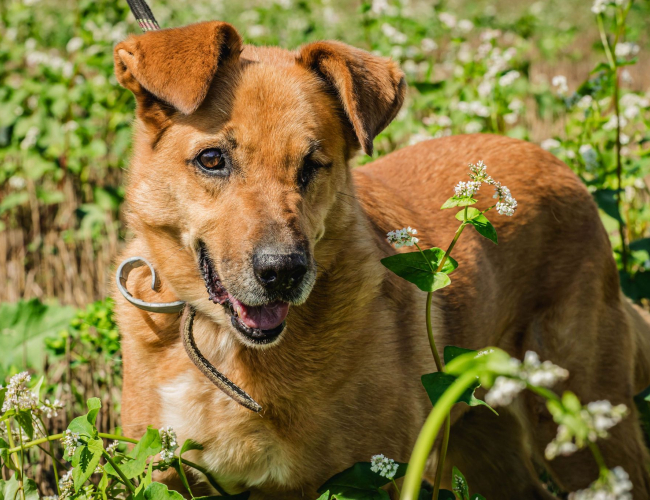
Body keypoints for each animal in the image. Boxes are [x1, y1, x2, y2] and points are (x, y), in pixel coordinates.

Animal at [110, 20, 648, 500]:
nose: (283, 272)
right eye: (212, 160)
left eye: (312, 165)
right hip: (478, 439)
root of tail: (561, 164)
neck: (222, 345)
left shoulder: (361, 480)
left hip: (584, 429)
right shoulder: (166, 473)